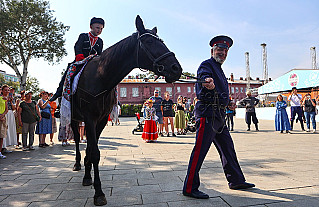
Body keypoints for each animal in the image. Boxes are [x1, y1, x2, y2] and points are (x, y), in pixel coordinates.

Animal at [70, 15, 184, 205]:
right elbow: (94, 153)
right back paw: (77, 164)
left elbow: (93, 150)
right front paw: (98, 192)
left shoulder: (101, 120)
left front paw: (89, 177)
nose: (176, 68)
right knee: (78, 139)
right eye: (148, 41)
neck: (101, 77)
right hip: (73, 118)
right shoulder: (90, 118)